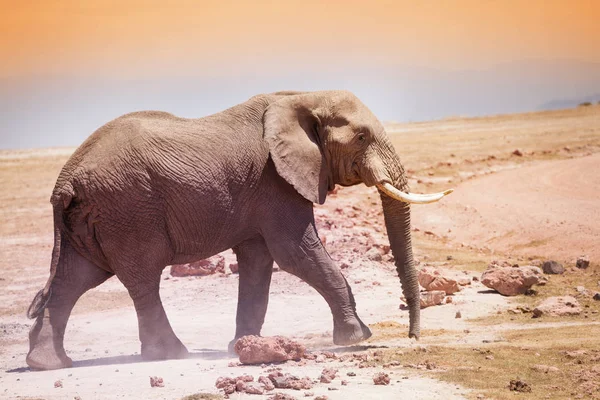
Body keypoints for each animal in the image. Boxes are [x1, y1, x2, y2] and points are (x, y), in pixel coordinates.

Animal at [25, 89, 452, 370]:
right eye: (362, 137)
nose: (414, 337)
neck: (303, 97)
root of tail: (65, 180)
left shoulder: (262, 189)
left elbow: (259, 261)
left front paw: (242, 346)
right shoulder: (274, 181)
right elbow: (294, 253)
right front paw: (359, 337)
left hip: (92, 217)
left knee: (74, 279)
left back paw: (48, 363)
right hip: (128, 208)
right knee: (142, 278)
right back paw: (170, 354)